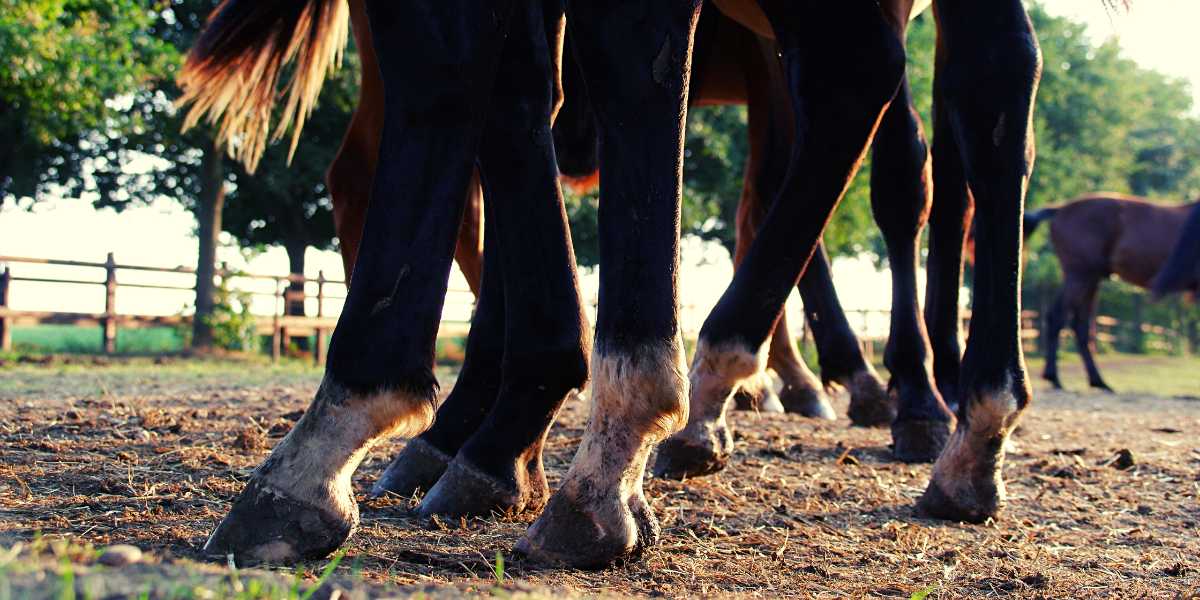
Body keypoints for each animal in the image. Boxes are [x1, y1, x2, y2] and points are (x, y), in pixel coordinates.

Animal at [1025, 194, 1199, 391]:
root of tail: (1060, 209)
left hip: (1090, 279)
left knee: (1080, 325)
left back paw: (1098, 381)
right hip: (1080, 275)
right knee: (1058, 317)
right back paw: (1055, 378)